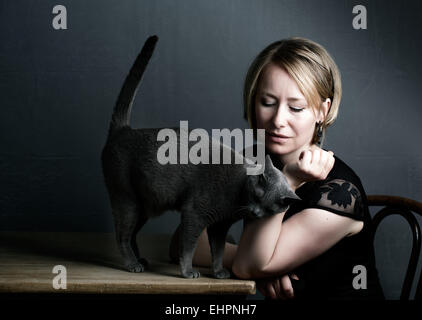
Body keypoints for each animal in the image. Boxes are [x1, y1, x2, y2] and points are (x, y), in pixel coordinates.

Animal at [101, 35, 300, 278]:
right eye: (257, 194)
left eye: (270, 207)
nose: (254, 211)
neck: (237, 198)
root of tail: (123, 130)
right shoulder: (194, 214)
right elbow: (188, 247)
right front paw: (188, 272)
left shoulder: (220, 225)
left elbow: (219, 249)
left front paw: (219, 272)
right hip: (126, 198)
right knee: (122, 234)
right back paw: (132, 264)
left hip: (145, 206)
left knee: (132, 234)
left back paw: (140, 260)